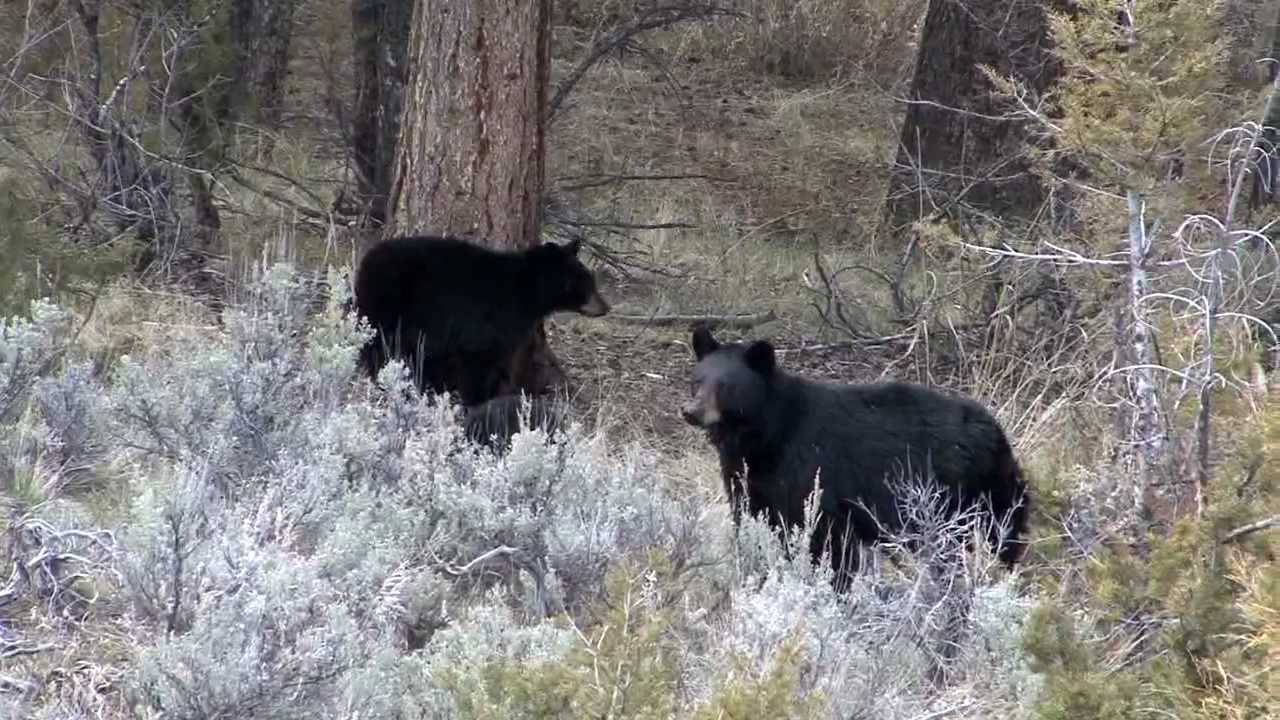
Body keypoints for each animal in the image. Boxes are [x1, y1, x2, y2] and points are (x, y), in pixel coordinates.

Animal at [352, 235, 609, 405]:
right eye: (585, 283)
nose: (606, 307)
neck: (526, 291)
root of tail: (366, 260)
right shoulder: (483, 323)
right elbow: (478, 363)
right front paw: (477, 403)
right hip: (388, 302)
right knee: (379, 345)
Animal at [680, 325, 1030, 586]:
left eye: (726, 386)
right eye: (697, 380)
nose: (691, 411)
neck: (765, 437)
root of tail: (994, 431)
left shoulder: (813, 474)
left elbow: (823, 540)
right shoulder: (749, 479)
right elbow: (753, 518)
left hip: (957, 495)